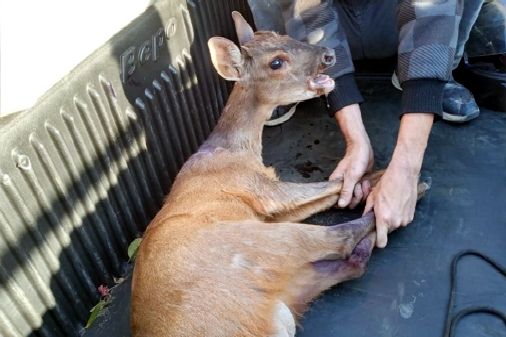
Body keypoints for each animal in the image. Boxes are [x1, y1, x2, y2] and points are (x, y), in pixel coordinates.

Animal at [129, 11, 426, 336]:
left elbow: (326, 192)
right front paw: (379, 181)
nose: (329, 54)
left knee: (349, 264)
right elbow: (330, 184)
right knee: (338, 239)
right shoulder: (257, 187)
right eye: (276, 63)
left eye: (283, 35)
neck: (235, 151)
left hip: (282, 285)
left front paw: (369, 182)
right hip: (253, 245)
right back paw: (410, 194)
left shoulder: (267, 207)